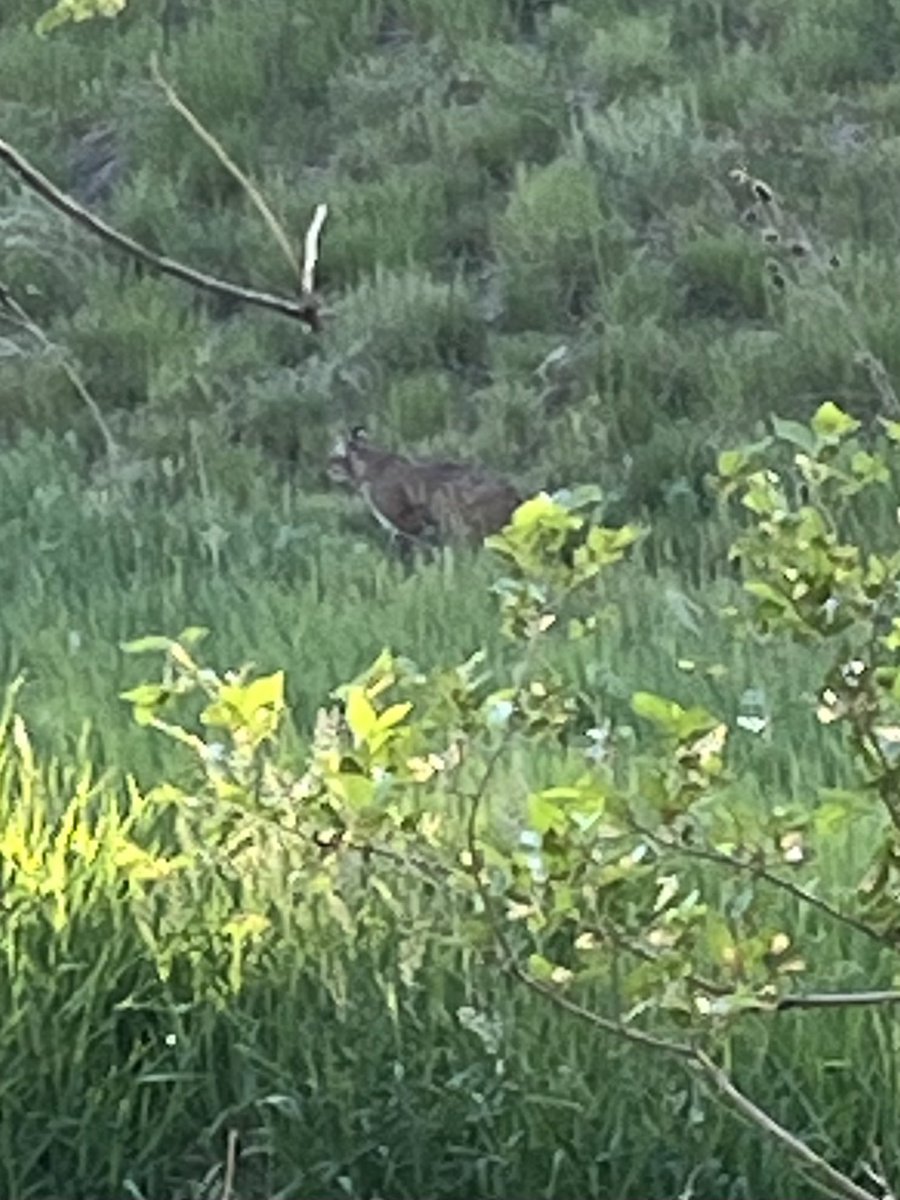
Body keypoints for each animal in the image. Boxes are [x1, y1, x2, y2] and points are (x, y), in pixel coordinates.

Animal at [326, 426, 521, 548]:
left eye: (337, 453)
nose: (326, 466)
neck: (370, 466)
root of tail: (513, 493)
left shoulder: (407, 523)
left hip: (462, 528)